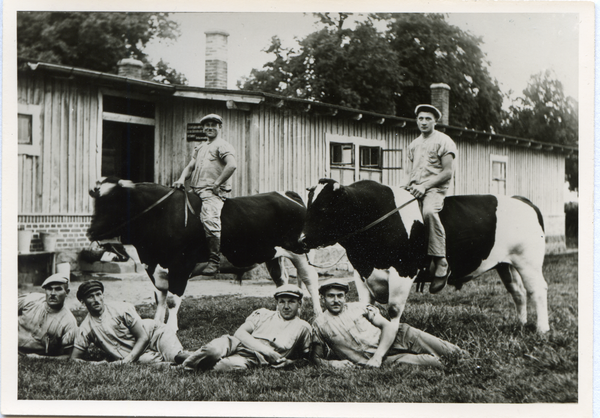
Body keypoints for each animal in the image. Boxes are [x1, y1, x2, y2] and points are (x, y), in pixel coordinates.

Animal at [86, 176, 322, 326]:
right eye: (96, 202)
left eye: (115, 203)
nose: (91, 232)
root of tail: (286, 194)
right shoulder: (154, 265)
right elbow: (159, 298)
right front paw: (156, 327)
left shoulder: (180, 265)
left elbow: (172, 300)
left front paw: (170, 330)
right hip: (272, 254)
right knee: (282, 281)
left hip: (299, 252)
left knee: (310, 280)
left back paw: (318, 315)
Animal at [300, 178, 548, 334]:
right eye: (308, 206)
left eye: (324, 209)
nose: (301, 240)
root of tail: (522, 200)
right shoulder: (361, 271)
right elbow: (364, 307)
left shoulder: (403, 271)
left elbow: (393, 309)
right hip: (506, 264)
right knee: (518, 292)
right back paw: (520, 324)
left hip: (529, 262)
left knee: (537, 290)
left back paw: (542, 329)